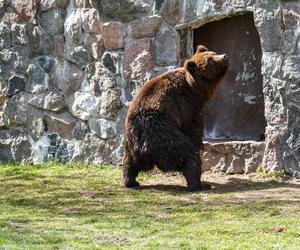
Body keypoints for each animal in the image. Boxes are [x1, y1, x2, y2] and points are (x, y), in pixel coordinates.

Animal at [123, 45, 229, 191]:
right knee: (188, 154)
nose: (225, 56)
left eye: (214, 53)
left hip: (130, 139)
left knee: (129, 161)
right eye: (210, 61)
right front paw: (200, 143)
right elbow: (194, 130)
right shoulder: (188, 107)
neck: (194, 87)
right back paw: (199, 184)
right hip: (165, 135)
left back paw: (131, 181)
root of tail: (142, 144)